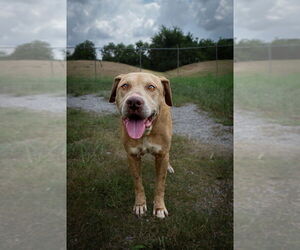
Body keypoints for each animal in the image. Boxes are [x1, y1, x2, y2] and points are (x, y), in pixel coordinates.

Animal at [108, 71, 173, 218]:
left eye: (151, 87)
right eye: (125, 86)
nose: (134, 102)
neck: (145, 133)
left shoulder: (162, 154)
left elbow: (160, 184)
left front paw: (159, 207)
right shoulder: (132, 155)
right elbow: (138, 182)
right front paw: (140, 204)